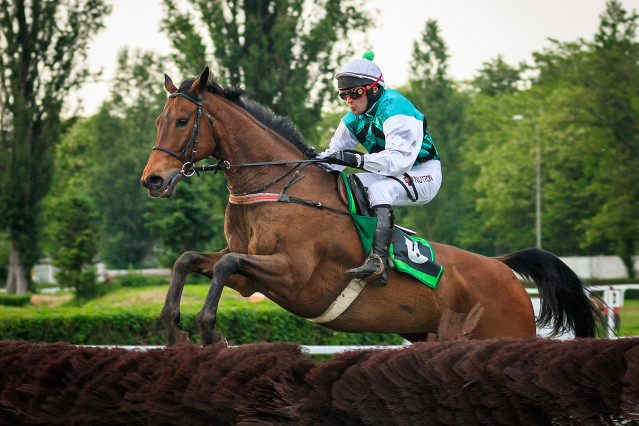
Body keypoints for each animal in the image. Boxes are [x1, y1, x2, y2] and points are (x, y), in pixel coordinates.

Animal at [141, 67, 604, 346]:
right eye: (159, 120)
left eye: (183, 121)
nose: (153, 180)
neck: (276, 188)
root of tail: (503, 268)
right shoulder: (250, 276)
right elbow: (189, 259)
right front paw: (173, 327)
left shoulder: (293, 274)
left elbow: (223, 264)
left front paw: (209, 332)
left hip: (503, 334)